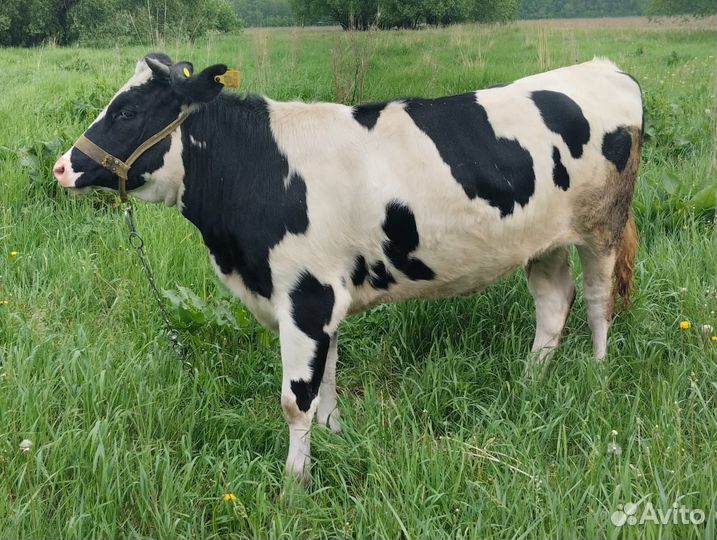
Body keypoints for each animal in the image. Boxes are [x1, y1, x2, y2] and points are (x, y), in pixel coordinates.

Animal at [53, 53, 642, 483]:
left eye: (128, 112)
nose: (62, 166)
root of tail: (605, 66)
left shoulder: (305, 296)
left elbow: (296, 400)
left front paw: (294, 484)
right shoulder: (322, 297)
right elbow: (328, 380)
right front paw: (337, 440)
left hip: (603, 227)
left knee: (597, 301)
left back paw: (597, 376)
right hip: (542, 241)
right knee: (553, 301)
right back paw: (530, 381)